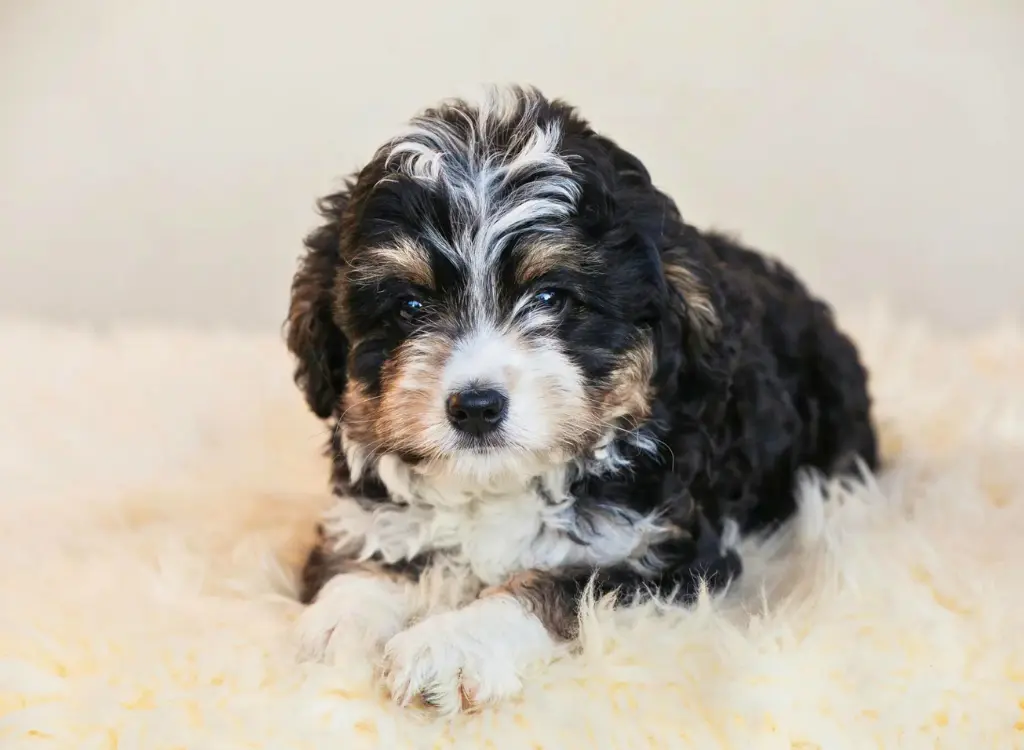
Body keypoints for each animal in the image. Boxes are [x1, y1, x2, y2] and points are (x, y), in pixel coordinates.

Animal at [284, 85, 876, 713]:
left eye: (551, 297)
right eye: (410, 308)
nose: (476, 407)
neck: (501, 484)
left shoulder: (662, 553)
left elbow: (562, 586)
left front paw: (452, 644)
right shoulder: (367, 508)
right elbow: (367, 550)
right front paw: (339, 621)